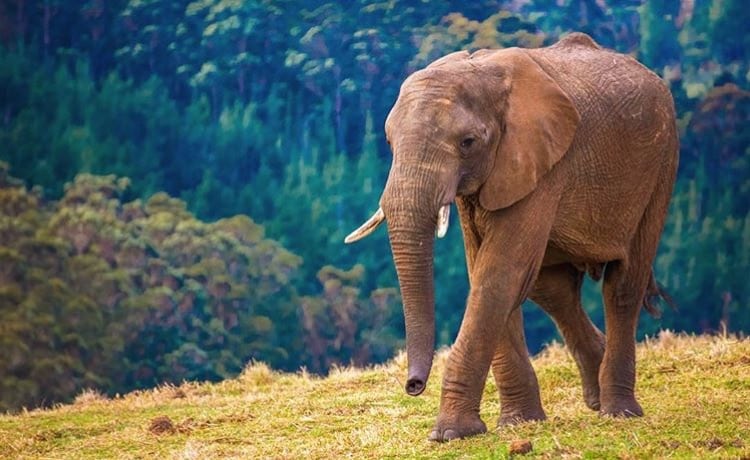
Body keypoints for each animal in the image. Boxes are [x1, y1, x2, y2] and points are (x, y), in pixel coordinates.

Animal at [345, 33, 678, 442]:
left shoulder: (542, 163)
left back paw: (618, 411)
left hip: (662, 163)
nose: (413, 386)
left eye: (468, 142)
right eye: (390, 143)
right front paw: (519, 423)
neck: (482, 73)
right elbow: (487, 274)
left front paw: (451, 434)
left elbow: (499, 273)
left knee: (622, 286)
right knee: (552, 289)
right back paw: (597, 396)